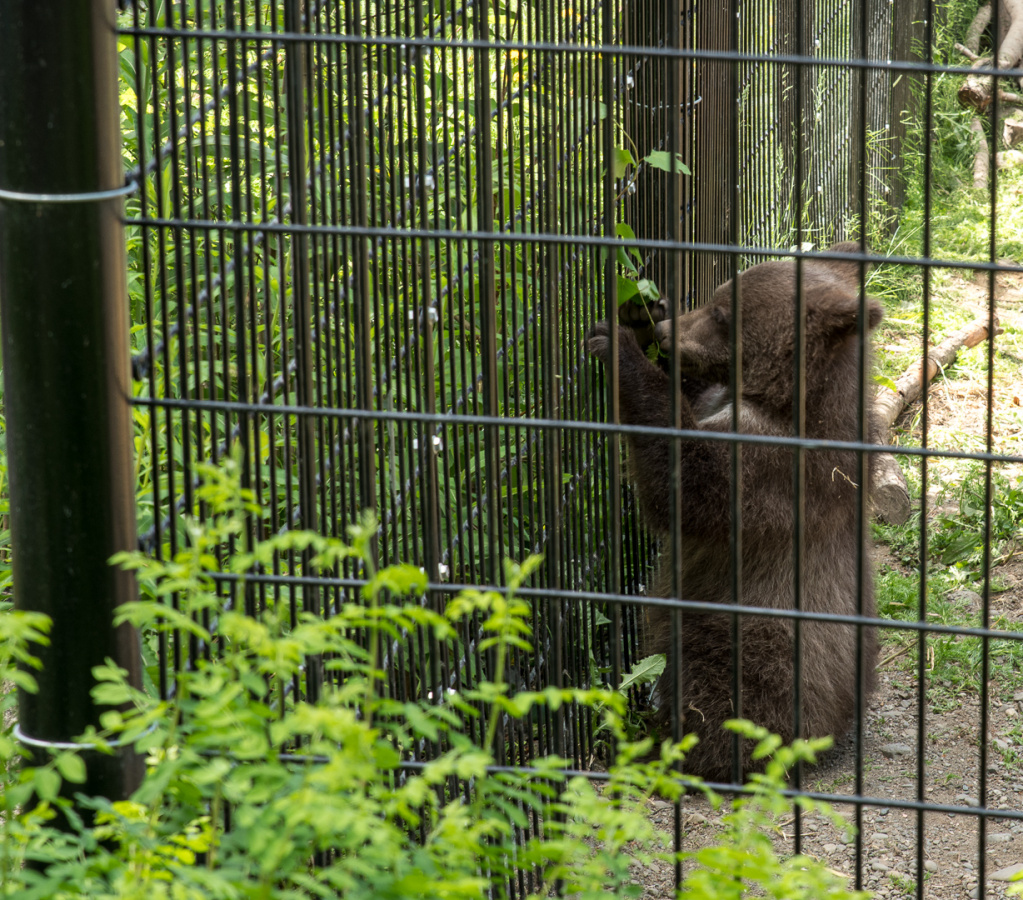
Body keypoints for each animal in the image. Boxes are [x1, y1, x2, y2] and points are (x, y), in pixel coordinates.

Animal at [586, 243, 881, 783]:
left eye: (723, 314)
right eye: (715, 298)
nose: (668, 329)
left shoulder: (773, 472)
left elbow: (686, 487)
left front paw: (619, 346)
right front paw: (641, 310)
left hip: (753, 637)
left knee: (720, 695)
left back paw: (686, 747)